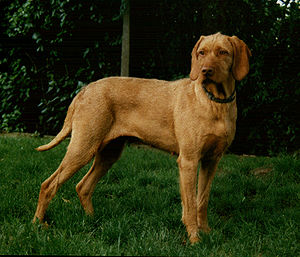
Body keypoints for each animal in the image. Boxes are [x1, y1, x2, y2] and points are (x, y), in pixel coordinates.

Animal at [32, 32, 251, 242]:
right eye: (201, 53)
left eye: (223, 52)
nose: (205, 71)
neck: (215, 102)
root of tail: (84, 89)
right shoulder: (188, 161)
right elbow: (190, 205)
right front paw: (194, 238)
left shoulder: (211, 160)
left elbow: (202, 200)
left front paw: (205, 231)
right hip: (83, 148)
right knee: (47, 185)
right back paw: (38, 224)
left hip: (109, 153)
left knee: (82, 186)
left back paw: (92, 220)